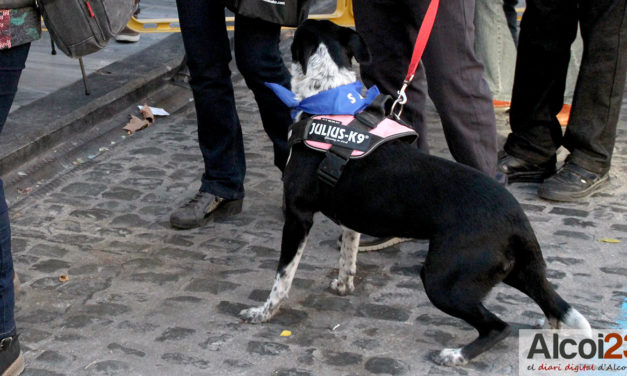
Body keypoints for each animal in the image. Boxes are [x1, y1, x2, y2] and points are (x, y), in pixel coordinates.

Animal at [238, 19, 592, 364]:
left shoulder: (298, 216)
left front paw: (263, 313)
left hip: (442, 279)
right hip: (513, 270)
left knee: (498, 326)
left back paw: (457, 355)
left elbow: (282, 277)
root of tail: (516, 218)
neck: (328, 103)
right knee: (553, 305)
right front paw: (343, 285)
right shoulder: (350, 218)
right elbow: (348, 256)